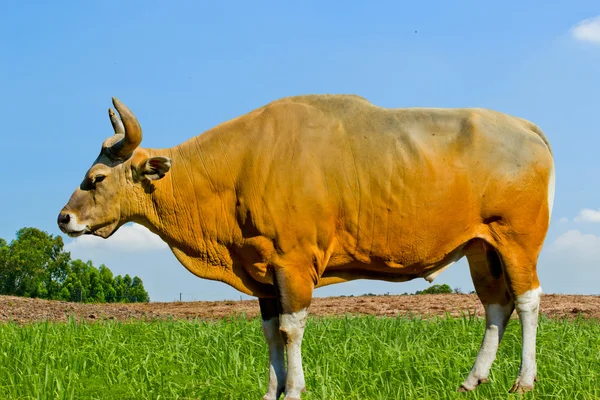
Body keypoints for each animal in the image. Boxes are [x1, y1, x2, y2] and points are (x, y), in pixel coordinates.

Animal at [58, 94, 556, 396]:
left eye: (96, 178)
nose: (64, 218)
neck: (240, 167)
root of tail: (526, 127)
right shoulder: (261, 273)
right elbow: (269, 331)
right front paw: (271, 390)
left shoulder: (293, 262)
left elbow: (291, 328)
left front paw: (294, 388)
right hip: (480, 247)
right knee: (496, 305)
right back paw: (473, 379)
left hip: (516, 239)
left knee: (527, 299)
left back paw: (524, 380)